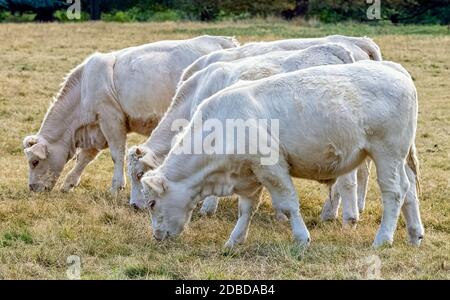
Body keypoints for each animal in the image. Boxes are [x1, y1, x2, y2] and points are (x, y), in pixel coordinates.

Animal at [22, 35, 239, 192]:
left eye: (34, 162)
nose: (32, 188)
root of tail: (223, 40)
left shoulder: (111, 118)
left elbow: (116, 154)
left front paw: (116, 186)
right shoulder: (97, 127)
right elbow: (84, 157)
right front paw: (69, 183)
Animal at [142, 60, 424, 248]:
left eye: (152, 203)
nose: (156, 235)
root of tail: (393, 68)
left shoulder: (272, 168)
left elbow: (288, 205)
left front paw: (301, 238)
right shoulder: (250, 174)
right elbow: (246, 209)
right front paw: (234, 240)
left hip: (387, 154)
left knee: (394, 192)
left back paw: (383, 239)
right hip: (400, 158)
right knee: (409, 190)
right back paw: (414, 234)